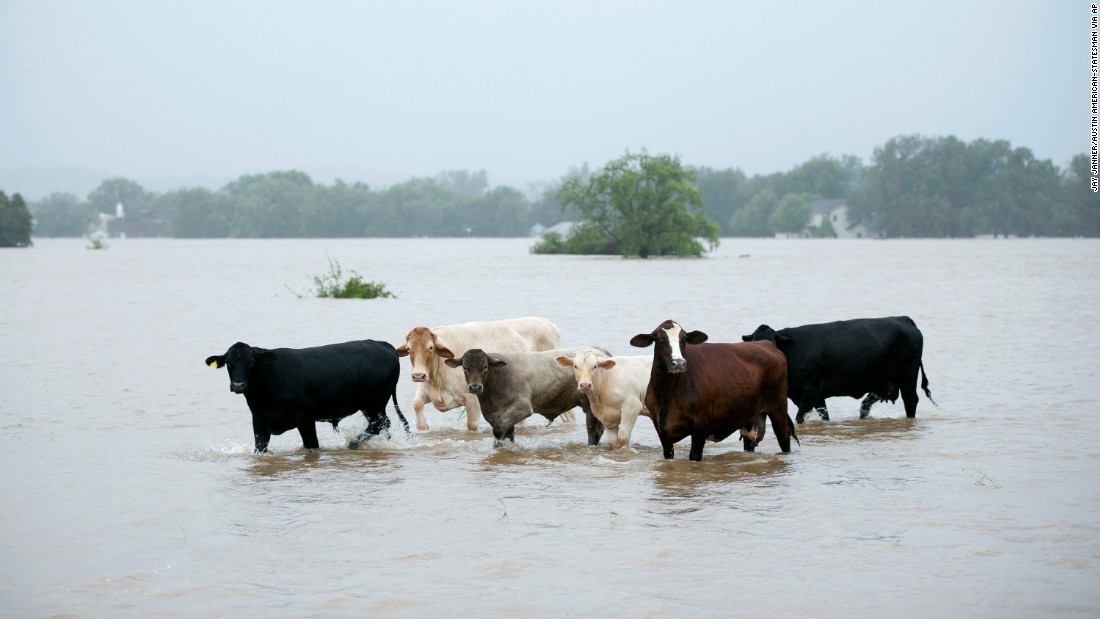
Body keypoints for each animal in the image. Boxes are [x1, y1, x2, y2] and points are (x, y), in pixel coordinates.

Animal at [205, 340, 409, 452]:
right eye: (229, 363)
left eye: (251, 362)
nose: (238, 385)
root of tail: (383, 345)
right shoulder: (259, 421)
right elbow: (259, 448)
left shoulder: (305, 418)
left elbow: (312, 445)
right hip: (373, 405)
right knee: (382, 425)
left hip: (375, 401)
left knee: (380, 424)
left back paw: (353, 443)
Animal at [396, 318, 563, 430]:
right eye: (409, 349)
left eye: (430, 347)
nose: (418, 375)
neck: (437, 382)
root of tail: (547, 322)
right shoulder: (424, 391)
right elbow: (417, 407)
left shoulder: (472, 400)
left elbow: (471, 425)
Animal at [442, 349, 607, 446]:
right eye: (465, 367)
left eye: (485, 366)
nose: (475, 387)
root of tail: (599, 351)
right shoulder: (498, 415)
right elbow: (506, 435)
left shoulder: (522, 408)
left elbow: (497, 431)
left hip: (591, 408)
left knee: (594, 432)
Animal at [629, 318, 800, 459]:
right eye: (659, 339)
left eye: (684, 339)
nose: (678, 363)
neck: (666, 394)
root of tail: (766, 343)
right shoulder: (661, 430)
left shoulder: (700, 427)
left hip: (778, 408)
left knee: (784, 437)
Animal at [743, 316, 932, 424]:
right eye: (754, 341)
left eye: (772, 342)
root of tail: (904, 319)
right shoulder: (815, 395)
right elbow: (824, 414)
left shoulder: (809, 391)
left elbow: (800, 417)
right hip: (885, 384)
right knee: (866, 404)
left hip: (908, 376)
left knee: (911, 400)